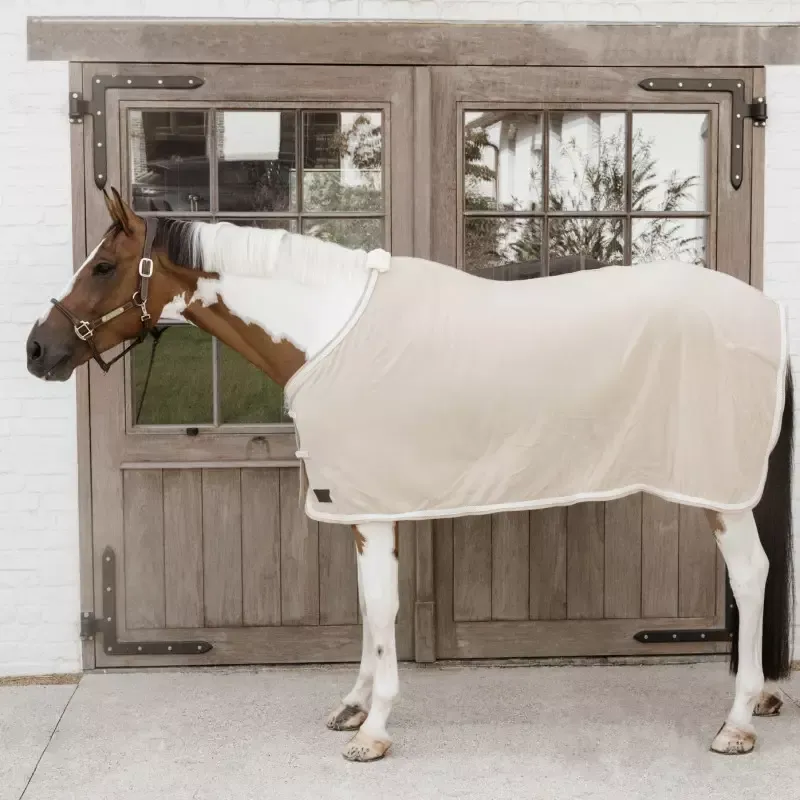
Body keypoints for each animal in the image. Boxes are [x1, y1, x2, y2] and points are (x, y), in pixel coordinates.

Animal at [26, 188, 794, 762]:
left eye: (103, 266)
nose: (38, 349)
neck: (325, 332)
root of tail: (766, 312)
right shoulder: (355, 504)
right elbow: (369, 608)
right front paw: (352, 705)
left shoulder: (369, 506)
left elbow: (382, 605)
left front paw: (373, 730)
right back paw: (759, 700)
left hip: (720, 489)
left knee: (750, 574)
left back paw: (736, 722)